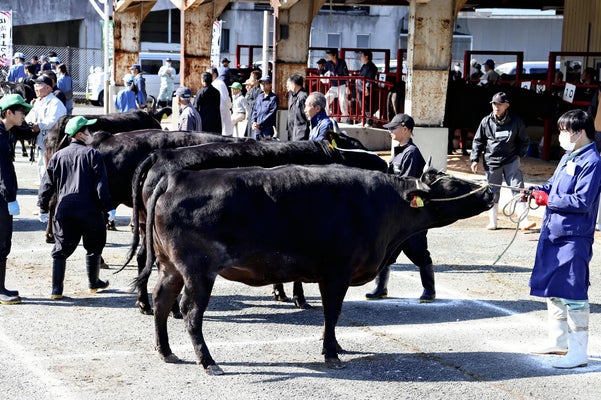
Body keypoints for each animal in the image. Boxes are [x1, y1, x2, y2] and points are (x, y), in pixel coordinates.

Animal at [127, 141, 390, 316]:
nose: (387, 164)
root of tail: (160, 155)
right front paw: (298, 298)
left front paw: (280, 292)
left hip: (148, 229)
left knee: (144, 258)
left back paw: (145, 304)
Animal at [138, 164, 494, 374]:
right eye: (452, 184)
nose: (489, 190)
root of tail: (176, 177)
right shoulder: (336, 274)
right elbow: (332, 312)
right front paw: (331, 353)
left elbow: (331, 316)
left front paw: (334, 345)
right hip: (198, 271)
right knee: (189, 311)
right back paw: (208, 361)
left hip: (171, 267)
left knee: (161, 301)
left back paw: (166, 351)